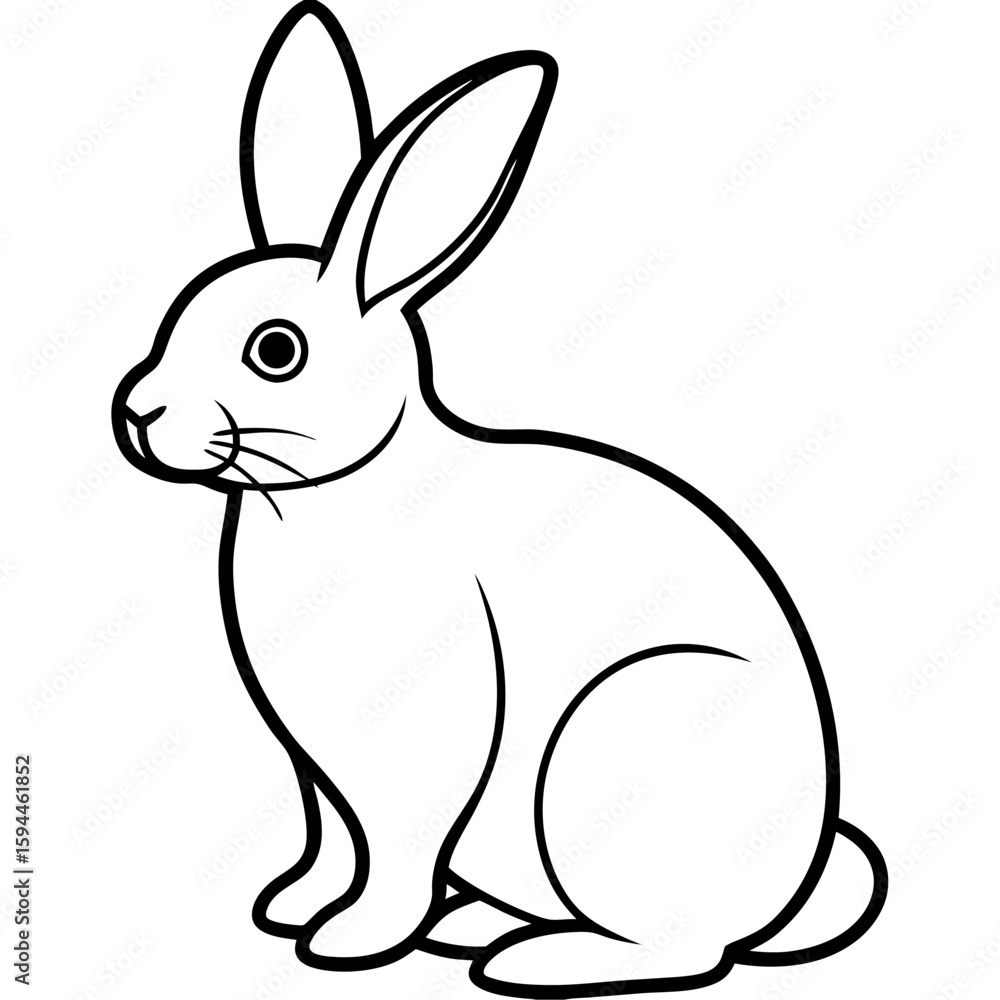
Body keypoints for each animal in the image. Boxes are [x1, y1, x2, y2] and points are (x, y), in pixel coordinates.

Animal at [111, 2, 886, 995]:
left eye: (275, 351)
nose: (136, 413)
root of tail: (797, 880)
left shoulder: (418, 743)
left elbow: (392, 847)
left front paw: (349, 940)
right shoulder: (312, 764)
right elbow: (330, 837)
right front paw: (291, 906)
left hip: (614, 751)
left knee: (685, 946)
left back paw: (530, 958)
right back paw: (473, 925)